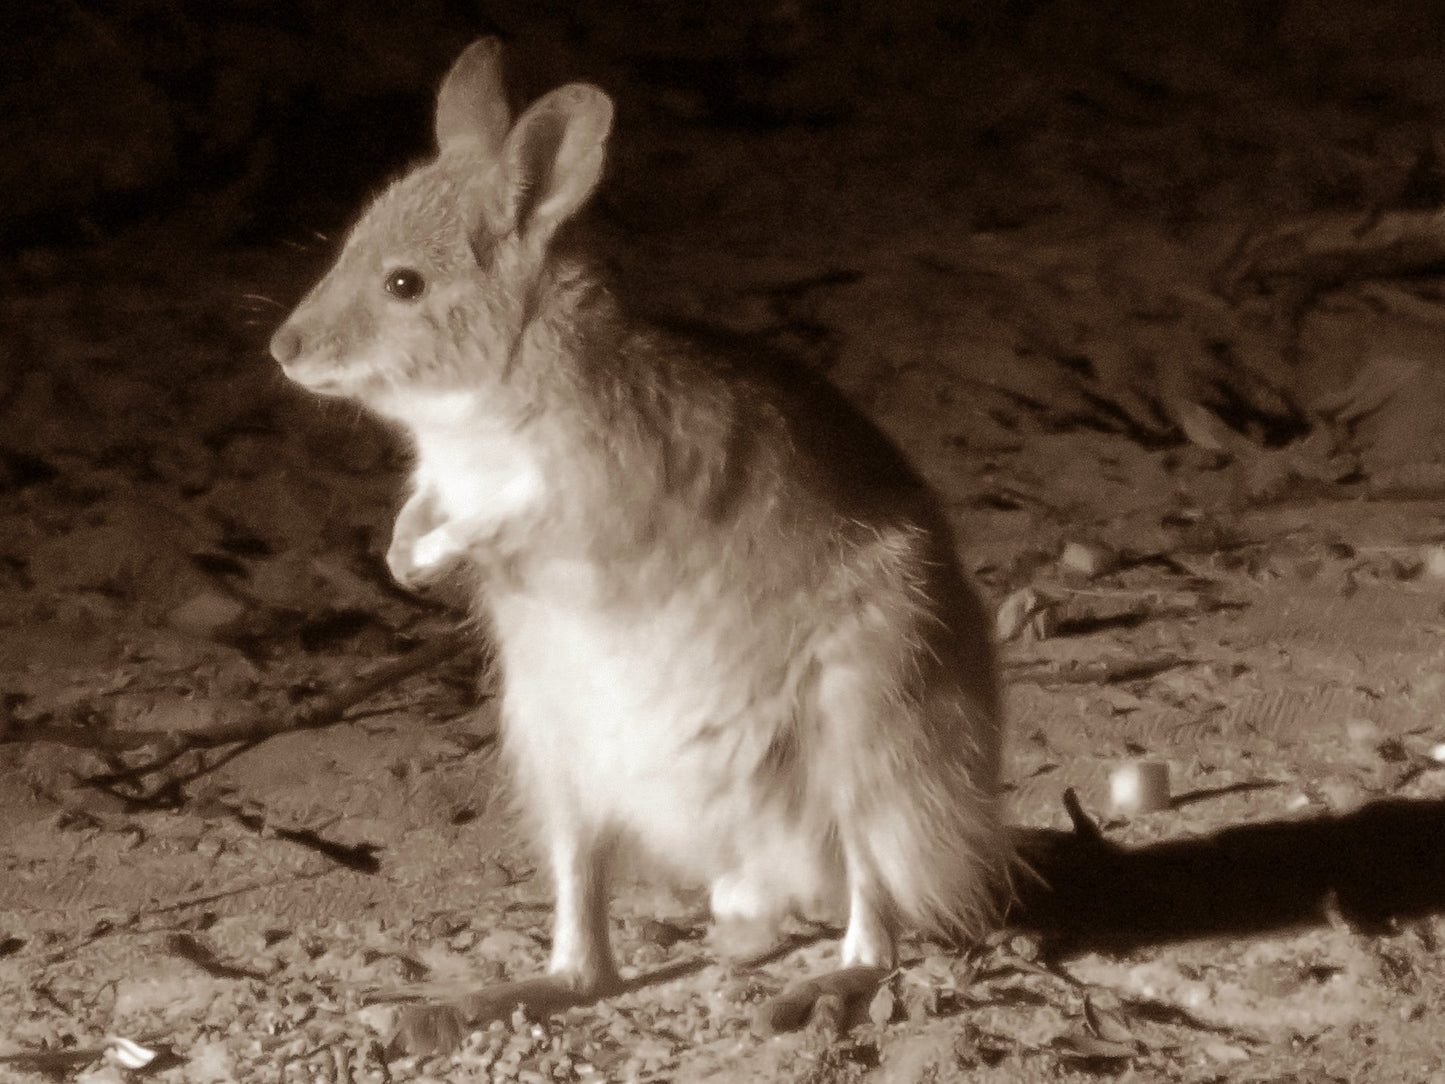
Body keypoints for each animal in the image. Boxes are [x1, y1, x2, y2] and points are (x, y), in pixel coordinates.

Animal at [269, 37, 1012, 1044]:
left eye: (403, 284)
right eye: (350, 250)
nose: (283, 349)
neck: (490, 392)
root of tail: (758, 870)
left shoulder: (594, 491)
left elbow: (506, 520)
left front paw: (426, 562)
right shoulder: (442, 478)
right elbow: (427, 508)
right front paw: (401, 556)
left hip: (867, 739)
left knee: (876, 919)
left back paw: (822, 990)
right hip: (555, 761)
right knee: (587, 959)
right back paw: (464, 1004)